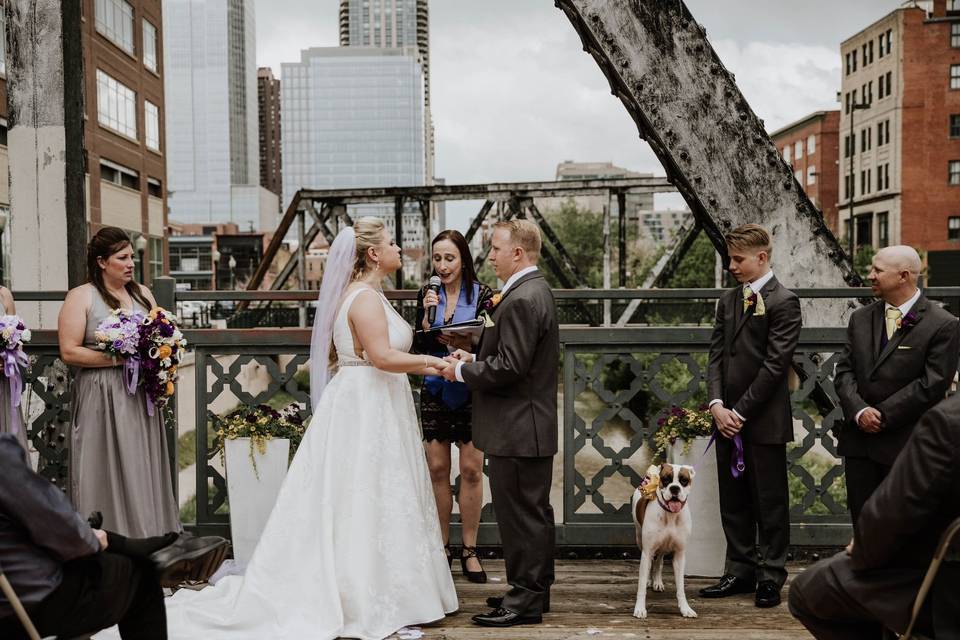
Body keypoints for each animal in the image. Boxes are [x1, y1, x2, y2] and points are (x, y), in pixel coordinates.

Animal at [632, 462, 696, 616]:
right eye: (666, 479)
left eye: (684, 480)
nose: (674, 488)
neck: (670, 515)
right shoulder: (647, 551)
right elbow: (641, 584)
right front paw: (640, 608)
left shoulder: (679, 555)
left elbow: (681, 587)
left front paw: (685, 608)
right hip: (640, 540)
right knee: (650, 564)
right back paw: (650, 580)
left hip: (663, 547)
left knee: (659, 561)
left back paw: (657, 581)